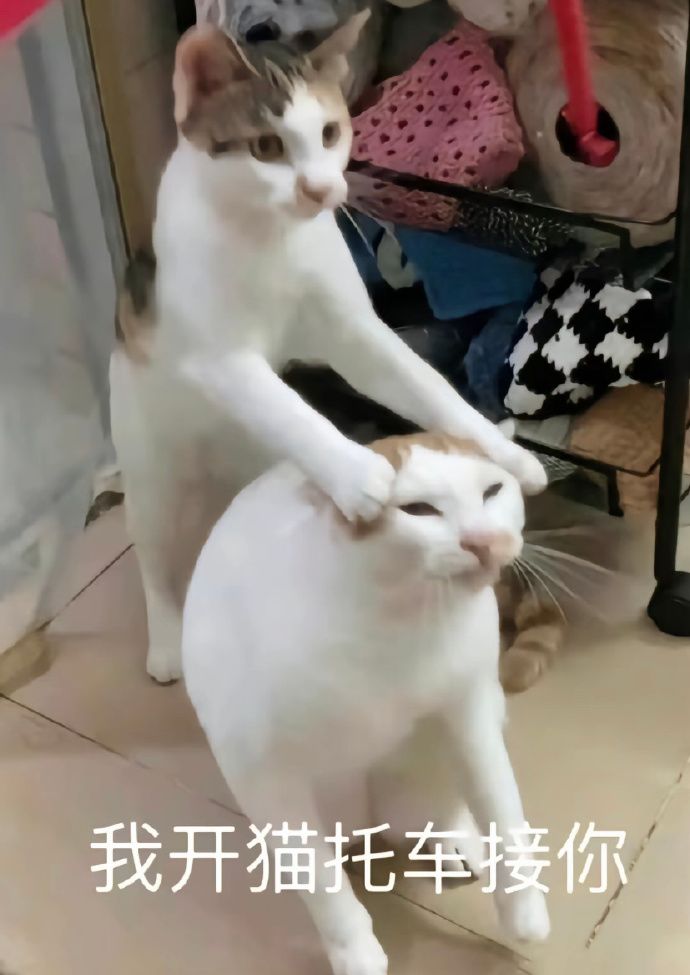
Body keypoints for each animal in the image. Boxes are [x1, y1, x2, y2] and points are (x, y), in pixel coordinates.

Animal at [110, 16, 546, 683]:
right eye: (266, 147)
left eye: (331, 132)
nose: (320, 189)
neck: (271, 239)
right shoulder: (218, 358)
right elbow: (287, 409)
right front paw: (359, 474)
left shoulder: (356, 334)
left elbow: (428, 386)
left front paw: (503, 453)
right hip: (152, 469)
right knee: (154, 559)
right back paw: (164, 644)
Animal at [182, 431, 550, 975]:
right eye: (418, 509)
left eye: (492, 491)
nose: (487, 542)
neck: (397, 621)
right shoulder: (263, 774)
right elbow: (321, 883)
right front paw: (356, 953)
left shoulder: (470, 711)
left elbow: (502, 808)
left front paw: (524, 910)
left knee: (445, 805)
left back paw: (456, 839)